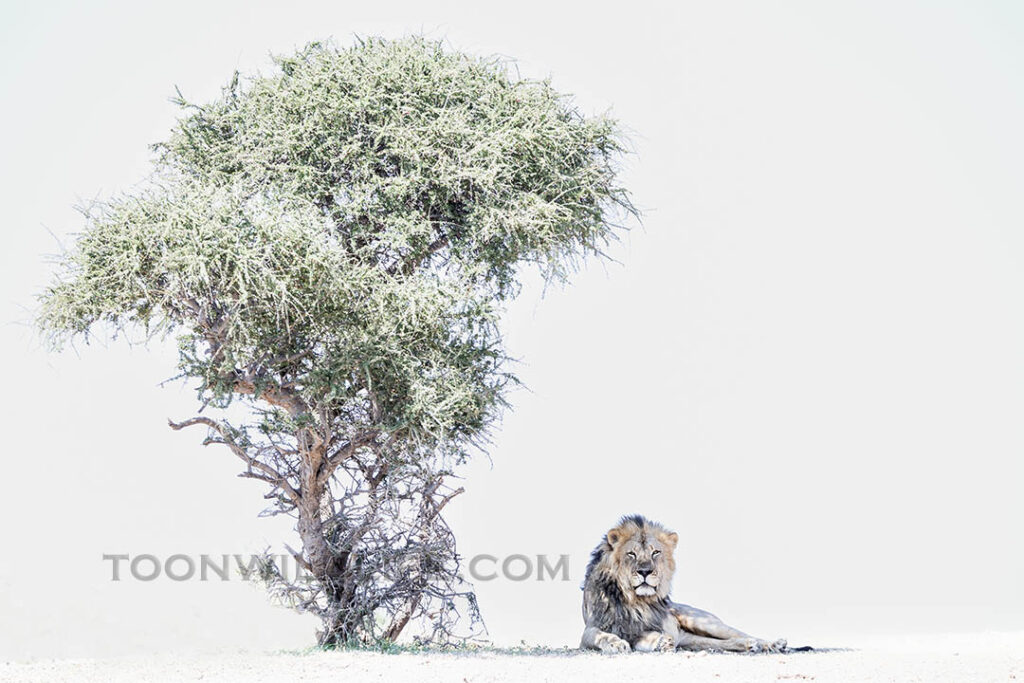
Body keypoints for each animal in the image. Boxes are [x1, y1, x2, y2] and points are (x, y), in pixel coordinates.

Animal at [580, 514, 788, 653]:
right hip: (692, 640)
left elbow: (649, 635)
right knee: (722, 642)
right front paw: (617, 643)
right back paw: (750, 646)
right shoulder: (591, 629)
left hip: (703, 621)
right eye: (631, 554)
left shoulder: (646, 628)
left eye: (655, 552)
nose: (645, 571)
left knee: (738, 633)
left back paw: (771, 643)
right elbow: (602, 635)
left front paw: (661, 641)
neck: (634, 600)